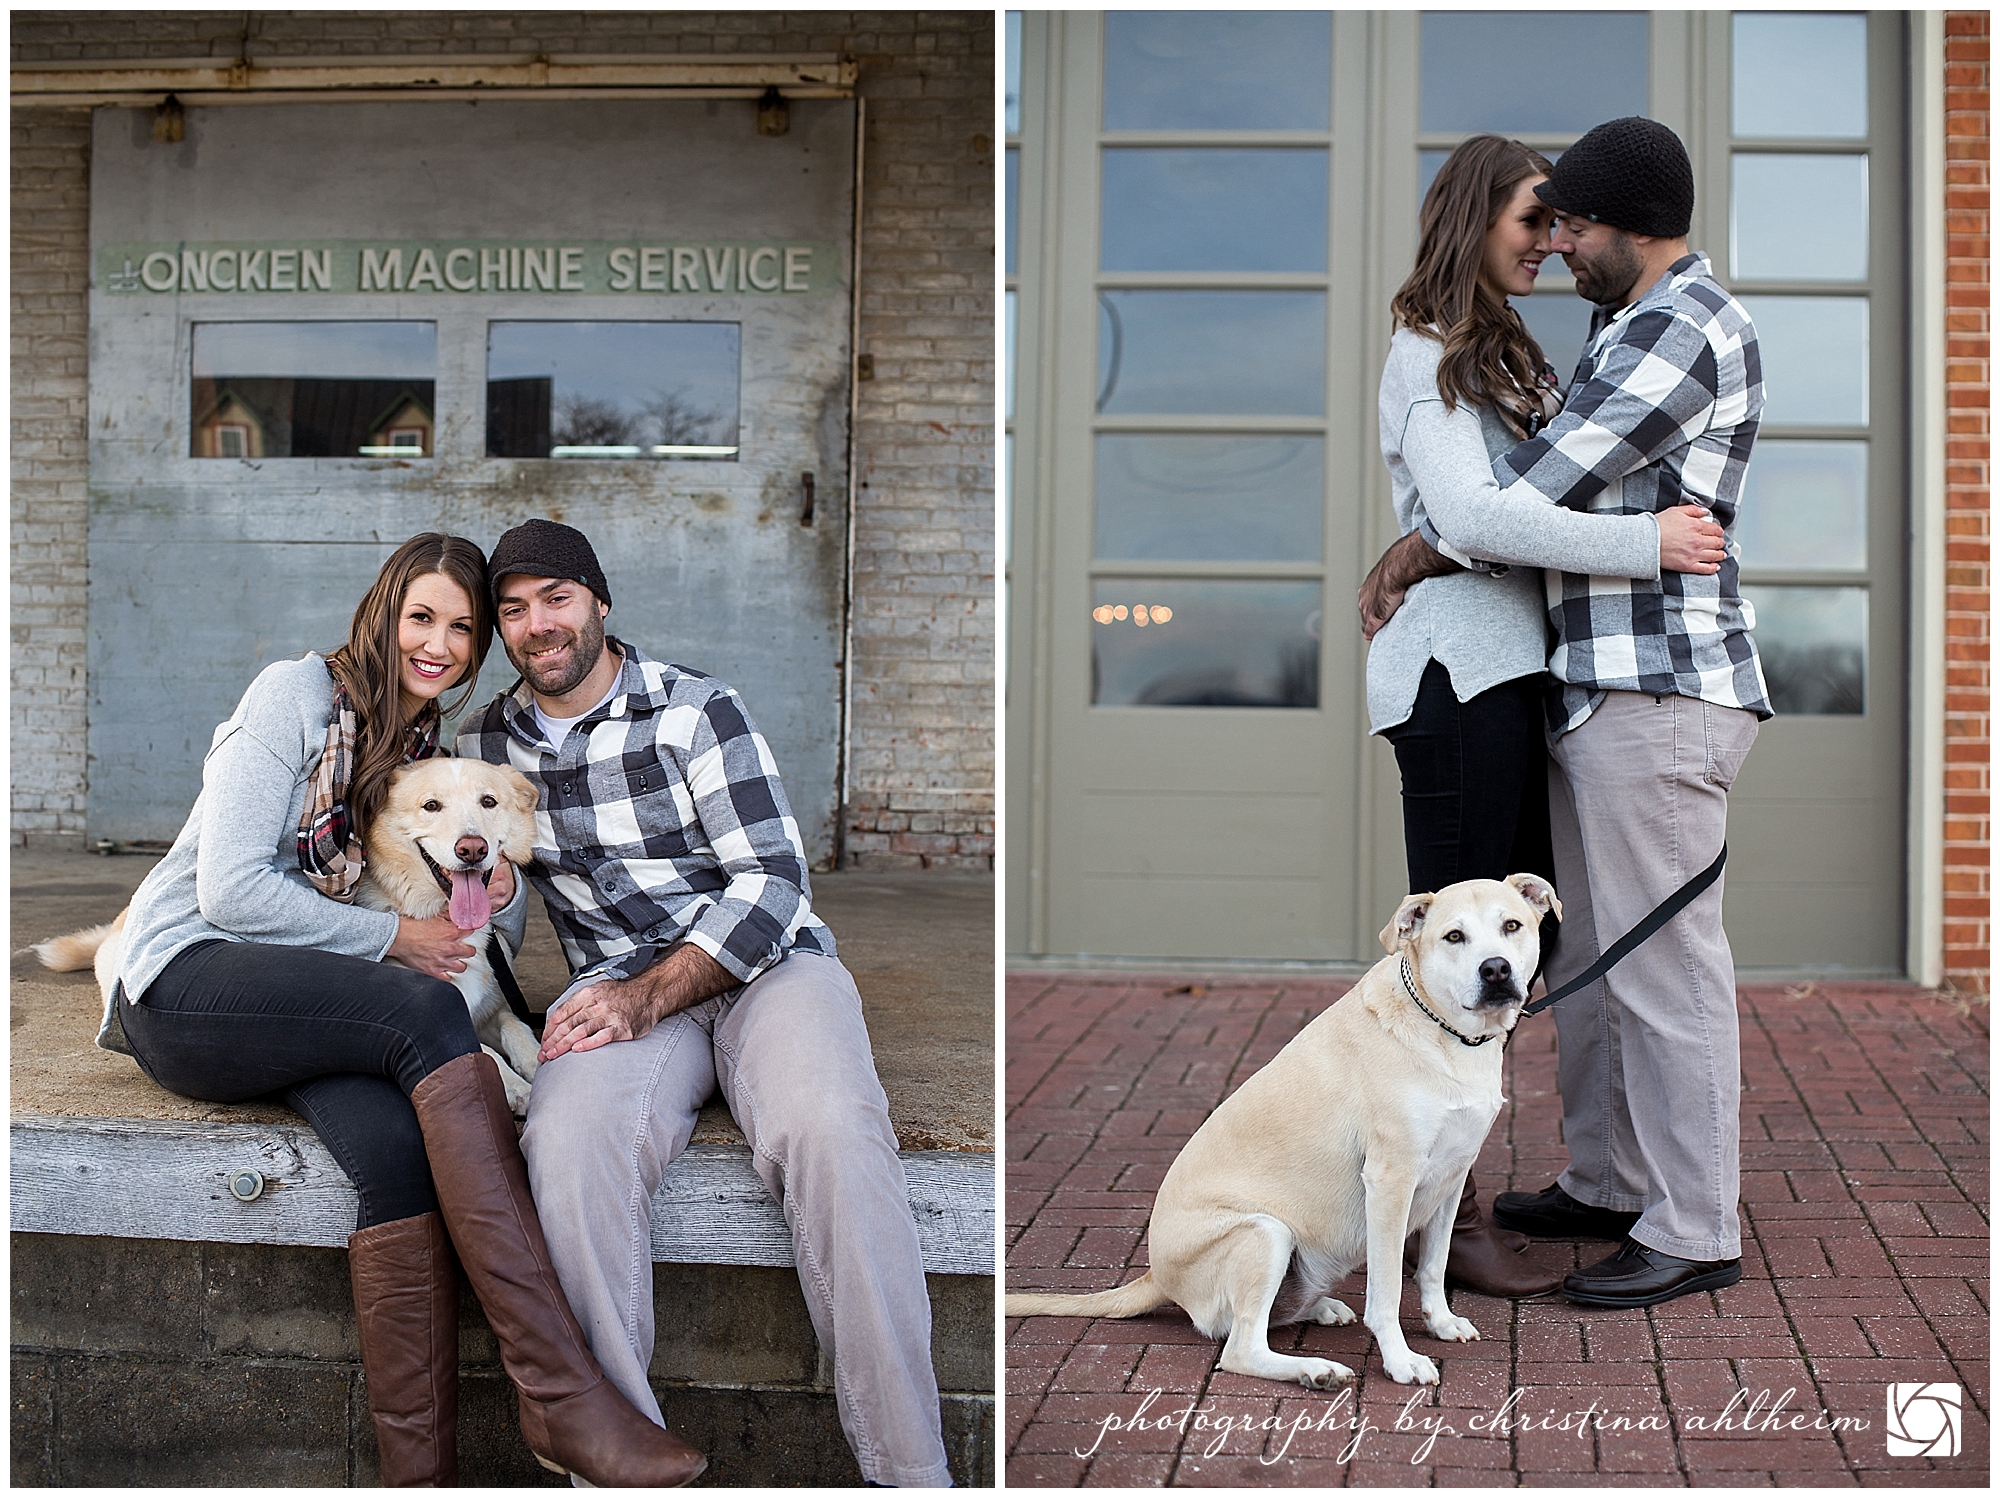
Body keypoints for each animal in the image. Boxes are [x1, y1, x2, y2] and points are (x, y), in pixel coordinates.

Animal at [33, 760, 548, 1112]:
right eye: (431, 805)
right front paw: (516, 1088)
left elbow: (517, 1027)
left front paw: (539, 1059)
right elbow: (482, 1050)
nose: (472, 849)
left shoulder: (491, 1004)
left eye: (488, 802)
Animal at [1008, 876, 1552, 1392]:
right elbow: (1386, 1292)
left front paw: (1440, 1323)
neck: (1449, 1035)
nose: (1496, 969)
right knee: (1240, 1348)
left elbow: (1434, 1266)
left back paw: (1322, 1311)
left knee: (1261, 1321)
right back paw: (1317, 1370)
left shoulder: (1452, 1178)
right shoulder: (1391, 1183)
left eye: (1511, 926)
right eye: (1454, 937)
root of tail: (1157, 1275)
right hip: (1265, 1231)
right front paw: (1400, 1361)